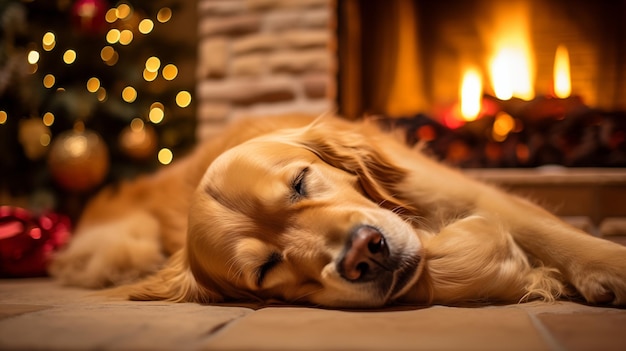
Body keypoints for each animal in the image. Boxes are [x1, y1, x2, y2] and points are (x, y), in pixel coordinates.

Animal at [51, 115, 624, 308]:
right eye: (266, 267)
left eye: (300, 183)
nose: (365, 255)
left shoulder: (461, 191)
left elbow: (545, 230)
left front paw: (609, 265)